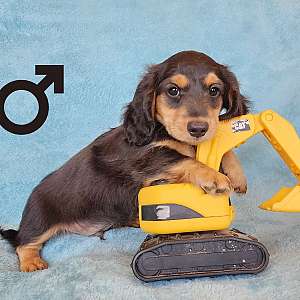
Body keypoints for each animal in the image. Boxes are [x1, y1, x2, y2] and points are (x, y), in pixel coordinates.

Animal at [0, 51, 248, 272]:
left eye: (214, 90)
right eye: (173, 90)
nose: (198, 128)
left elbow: (219, 147)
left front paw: (236, 174)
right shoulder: (142, 158)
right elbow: (179, 158)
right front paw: (214, 177)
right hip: (40, 219)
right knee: (23, 243)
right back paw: (32, 262)